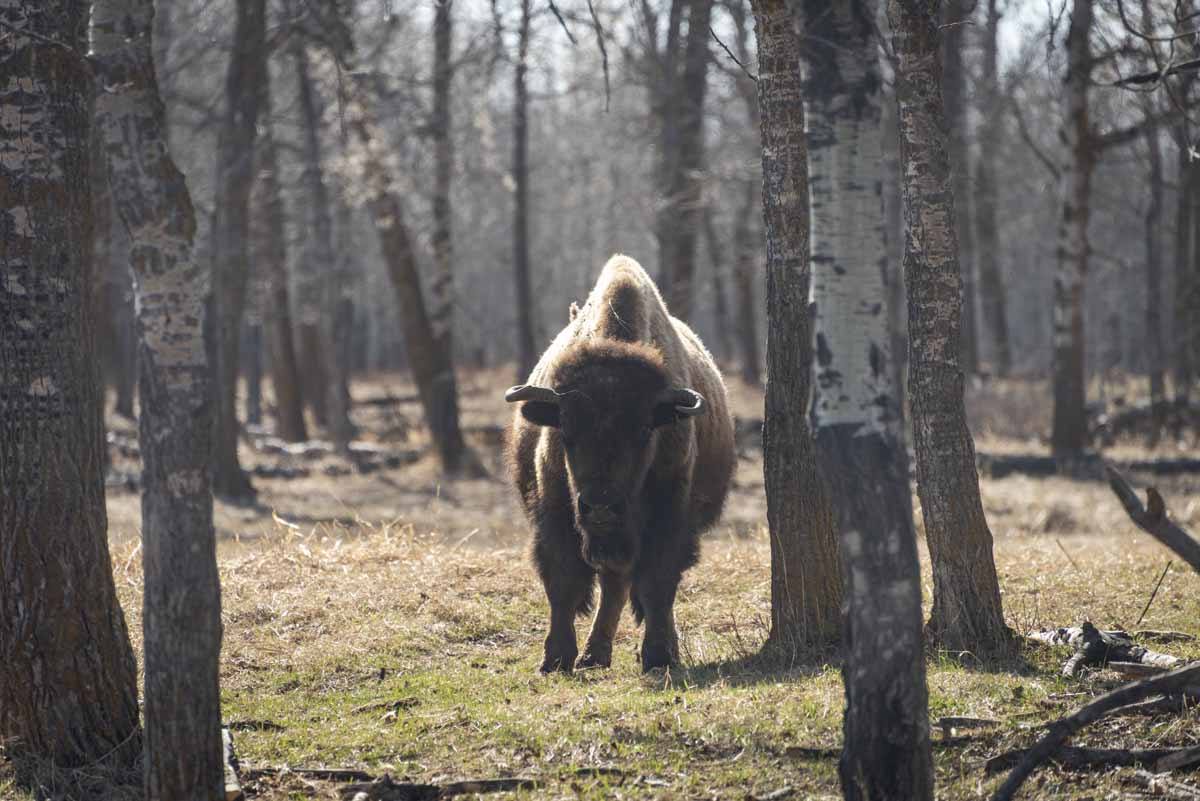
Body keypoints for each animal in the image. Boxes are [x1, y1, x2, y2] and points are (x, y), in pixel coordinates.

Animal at [504, 255, 734, 671]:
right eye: (566, 430)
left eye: (644, 430)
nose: (601, 508)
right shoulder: (555, 510)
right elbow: (563, 581)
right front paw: (555, 658)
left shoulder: (670, 516)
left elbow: (658, 581)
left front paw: (659, 655)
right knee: (613, 582)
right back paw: (593, 655)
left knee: (628, 583)